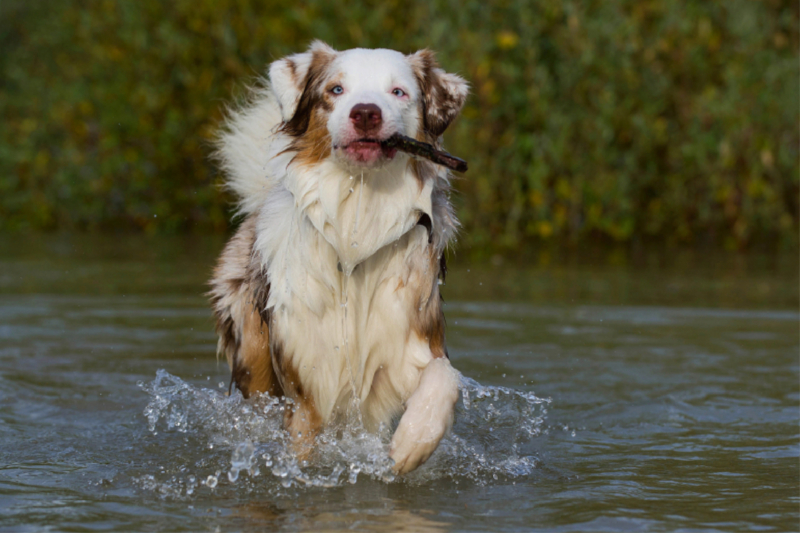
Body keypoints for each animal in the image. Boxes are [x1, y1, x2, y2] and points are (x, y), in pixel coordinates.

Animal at [208, 42, 468, 474]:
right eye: (336, 90)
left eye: (399, 92)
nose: (365, 112)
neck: (356, 223)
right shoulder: (307, 379)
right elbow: (304, 442)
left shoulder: (413, 333)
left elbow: (445, 377)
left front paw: (412, 442)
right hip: (254, 353)